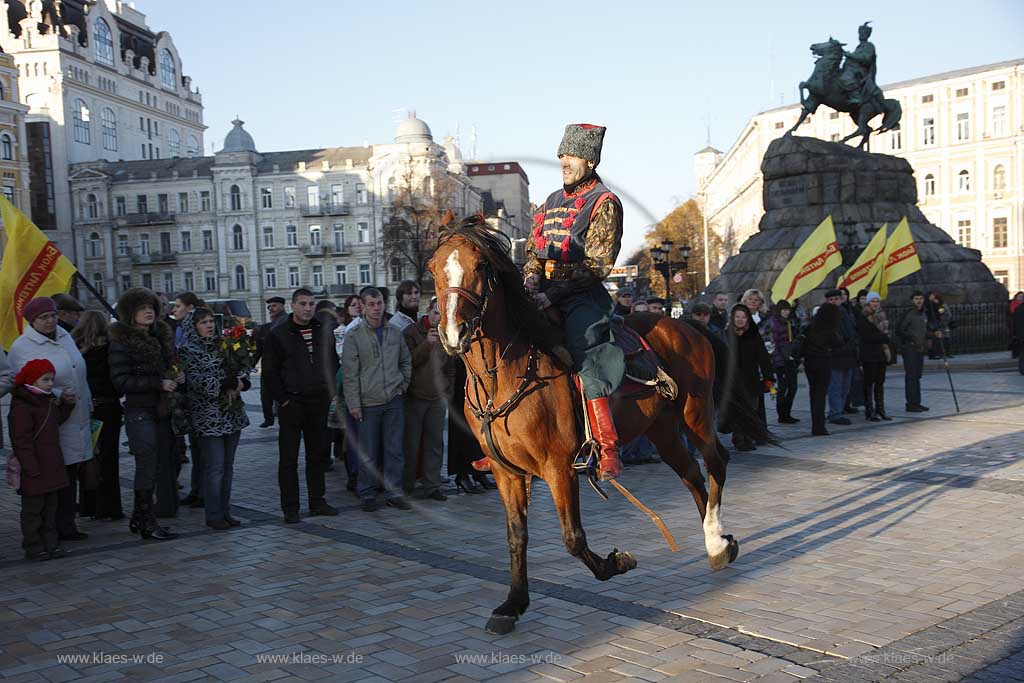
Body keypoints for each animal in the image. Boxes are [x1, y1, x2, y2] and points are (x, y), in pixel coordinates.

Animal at [428, 219, 741, 634]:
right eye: (433, 268)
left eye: (479, 266)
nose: (453, 333)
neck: (507, 374)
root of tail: (686, 324)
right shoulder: (506, 472)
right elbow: (516, 536)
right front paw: (513, 603)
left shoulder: (558, 467)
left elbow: (573, 538)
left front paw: (616, 563)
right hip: (662, 430)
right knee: (691, 473)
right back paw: (714, 540)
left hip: (695, 415)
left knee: (715, 462)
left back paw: (718, 542)